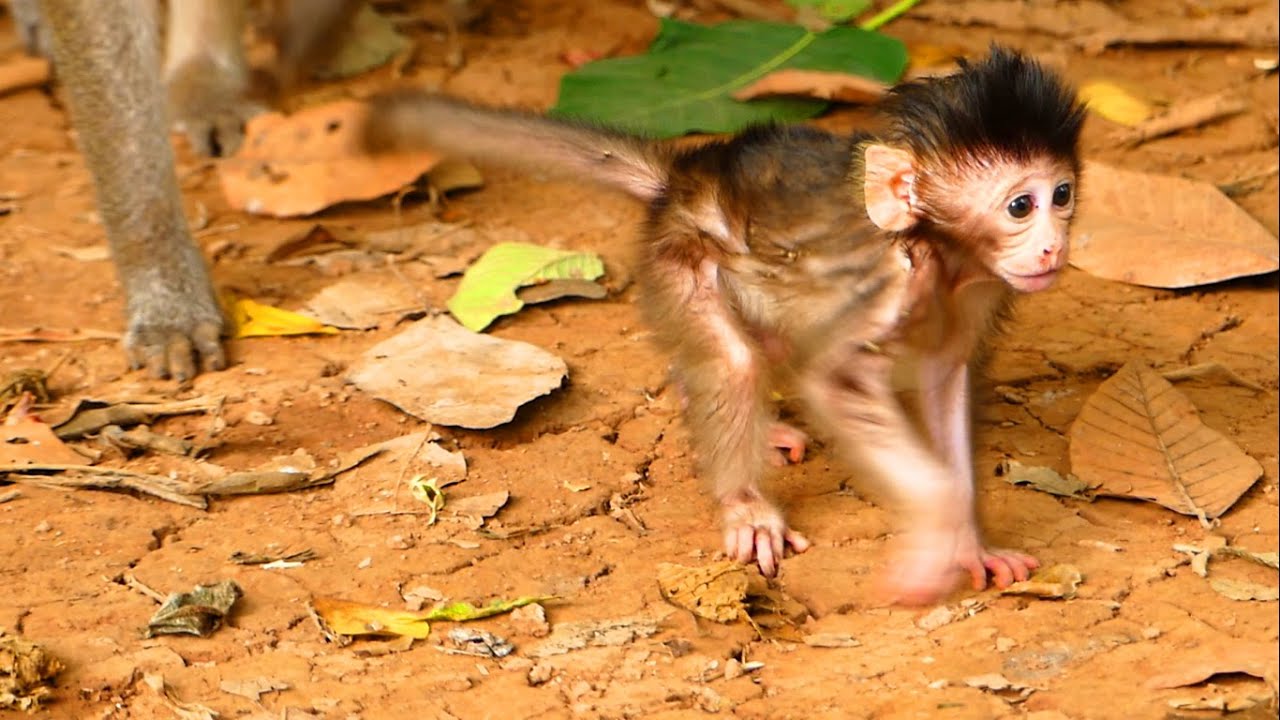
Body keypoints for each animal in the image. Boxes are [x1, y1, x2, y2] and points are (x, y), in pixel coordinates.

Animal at [359, 46, 1086, 605]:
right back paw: (745, 503)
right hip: (679, 253)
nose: (1052, 246)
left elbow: (945, 380)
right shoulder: (890, 284)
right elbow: (840, 379)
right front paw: (935, 536)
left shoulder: (978, 289)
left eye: (1062, 195)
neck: (940, 252)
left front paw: (971, 545)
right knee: (732, 361)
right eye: (1020, 206)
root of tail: (686, 176)